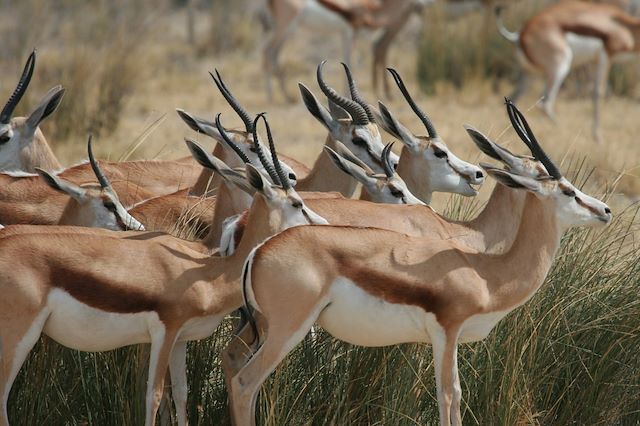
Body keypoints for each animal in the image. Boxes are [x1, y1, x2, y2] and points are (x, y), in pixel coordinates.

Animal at [229, 100, 608, 426]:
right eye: (568, 191)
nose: (605, 210)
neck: (485, 271)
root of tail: (259, 249)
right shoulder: (446, 332)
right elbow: (450, 395)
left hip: (261, 328)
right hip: (287, 330)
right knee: (244, 382)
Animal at [260, 0, 430, 100]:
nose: (423, 5)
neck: (371, 8)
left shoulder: (345, 34)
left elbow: (346, 61)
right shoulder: (351, 32)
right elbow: (350, 62)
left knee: (272, 53)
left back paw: (282, 96)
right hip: (286, 27)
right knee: (268, 51)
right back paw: (275, 97)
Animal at [498, 2, 640, 141]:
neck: (625, 28)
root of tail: (520, 36)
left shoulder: (593, 63)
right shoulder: (605, 57)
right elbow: (599, 93)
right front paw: (598, 137)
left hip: (529, 75)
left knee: (514, 99)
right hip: (560, 68)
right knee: (545, 103)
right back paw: (561, 128)